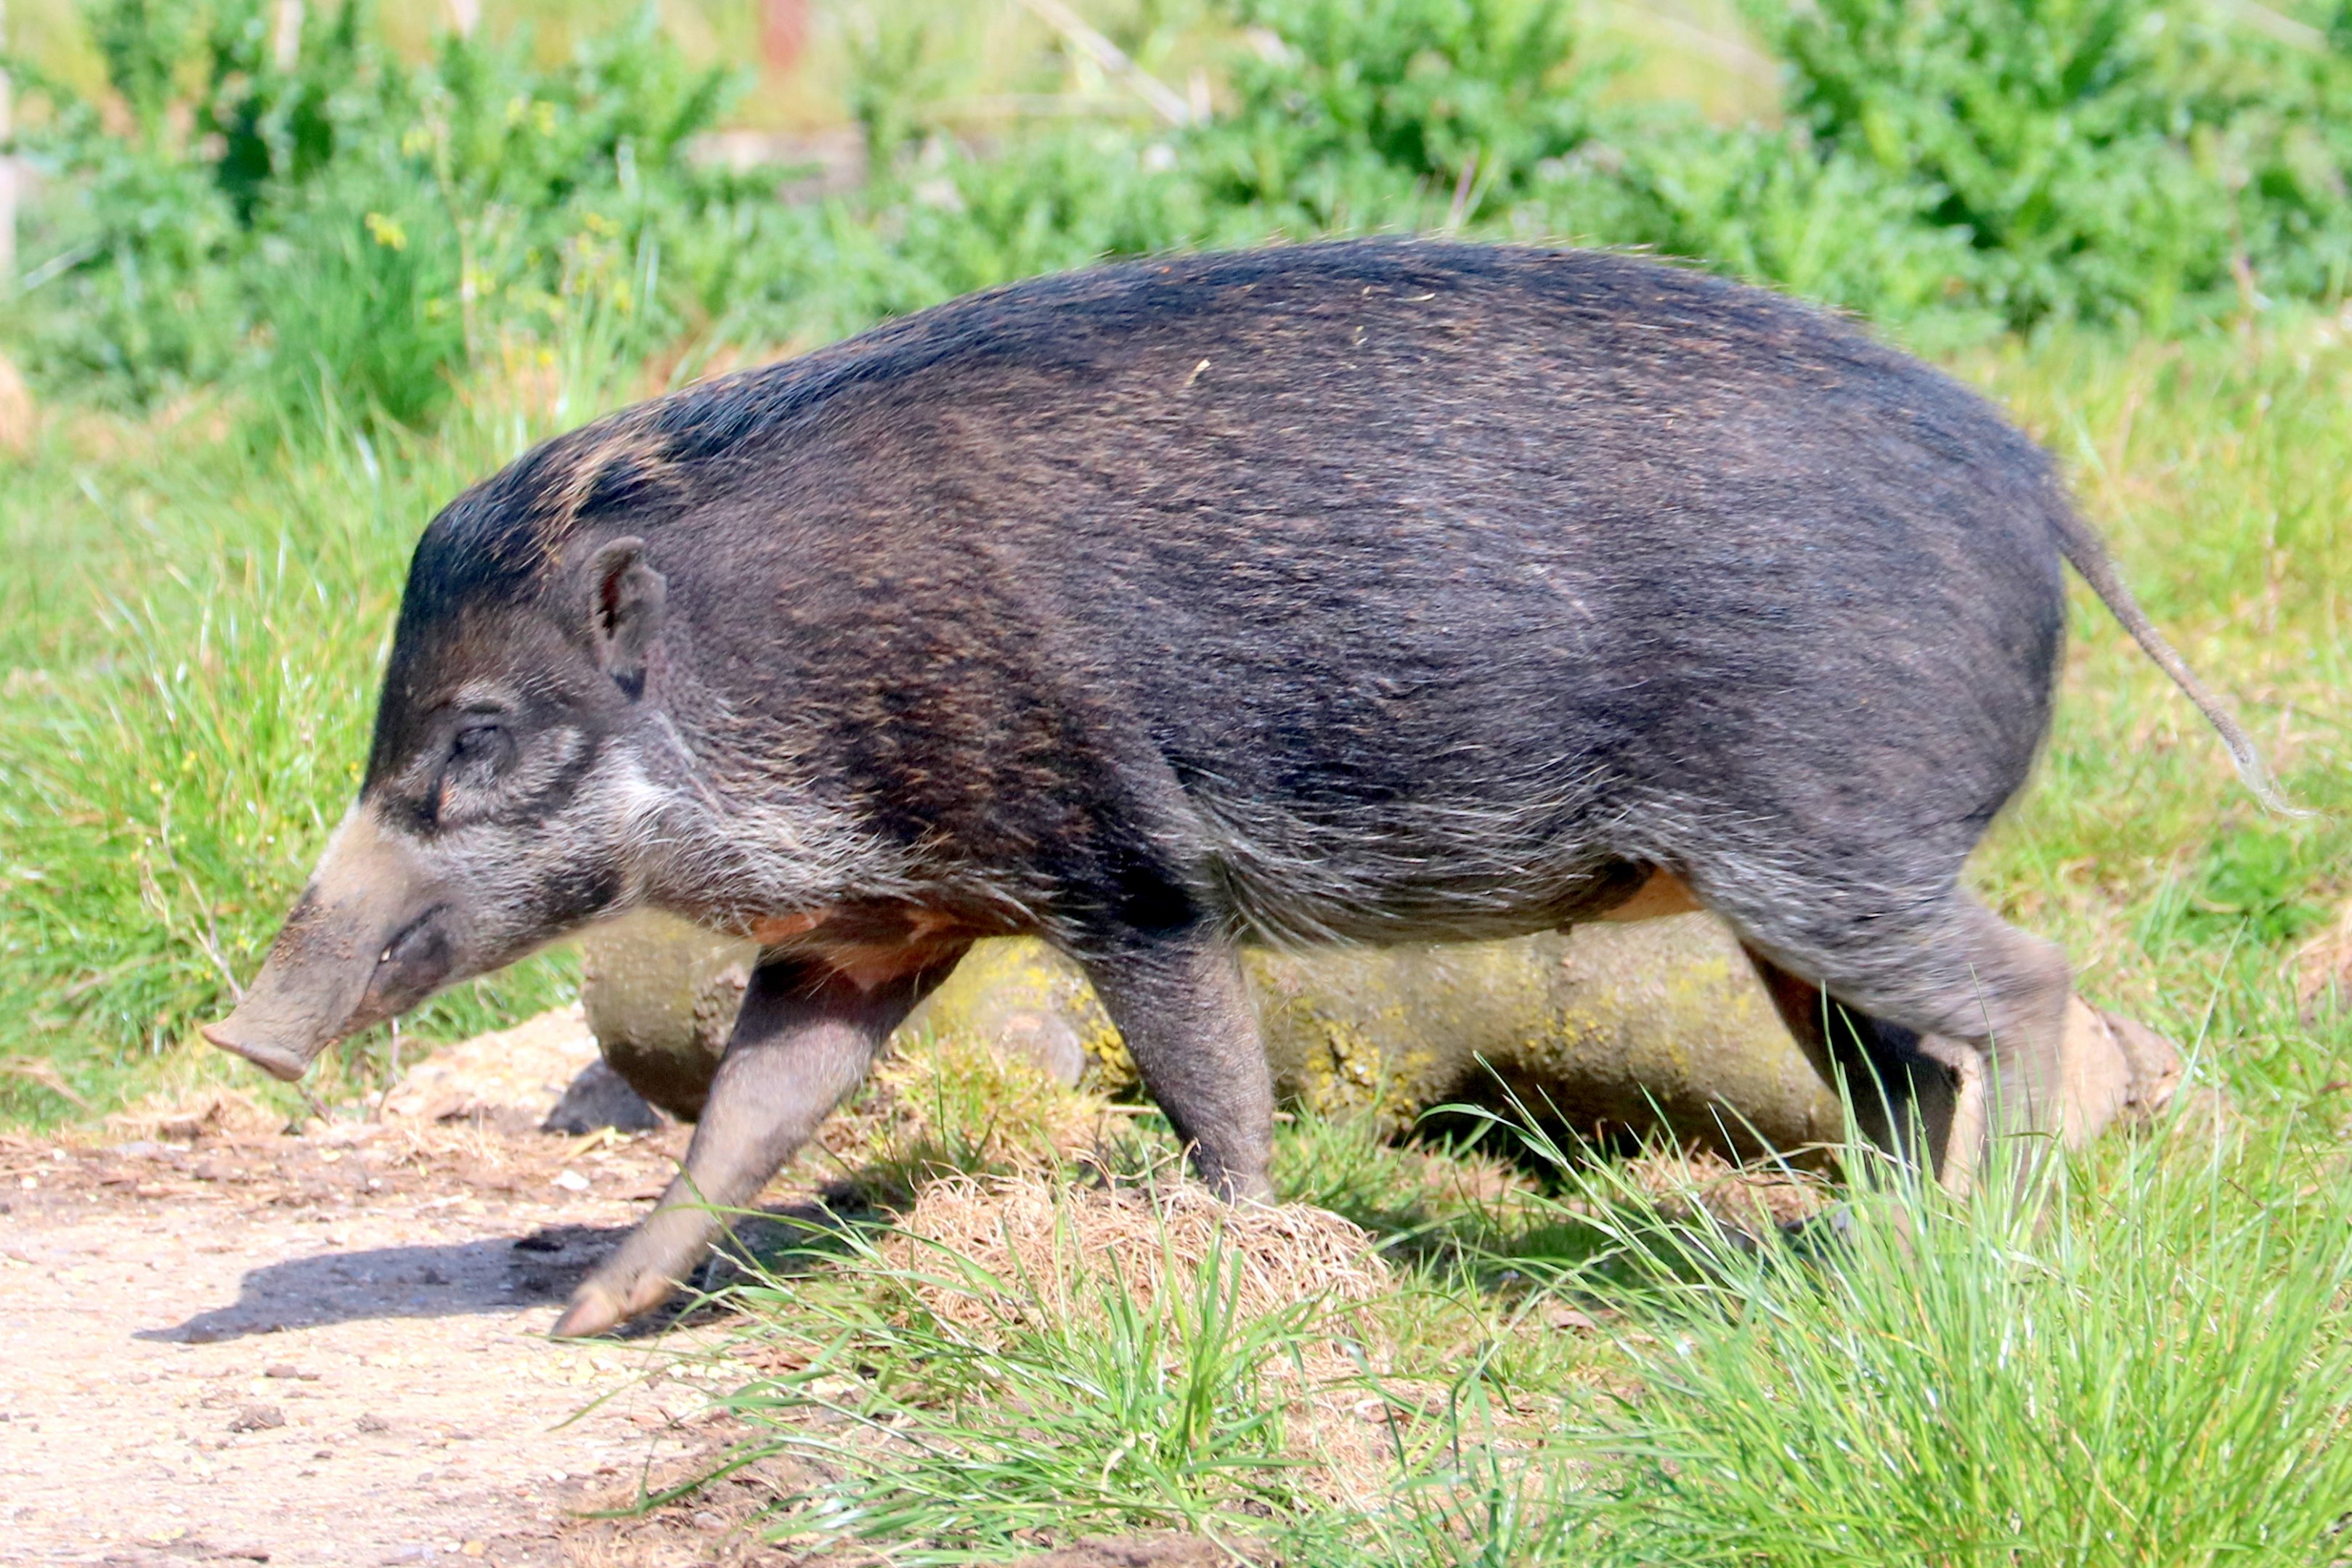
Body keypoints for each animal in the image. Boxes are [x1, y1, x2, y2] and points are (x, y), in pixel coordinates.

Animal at [201, 240, 2285, 1336]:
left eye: (475, 737)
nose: (238, 1034)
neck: (771, 669)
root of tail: (2034, 487)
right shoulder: (875, 920)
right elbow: (748, 1118)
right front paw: (585, 1322)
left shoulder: (1111, 852)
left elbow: (1209, 1074)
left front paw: (1238, 1264)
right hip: (1787, 894)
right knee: (1895, 1075)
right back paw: (1882, 1272)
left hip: (1823, 844)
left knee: (2025, 993)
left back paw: (1996, 1241)